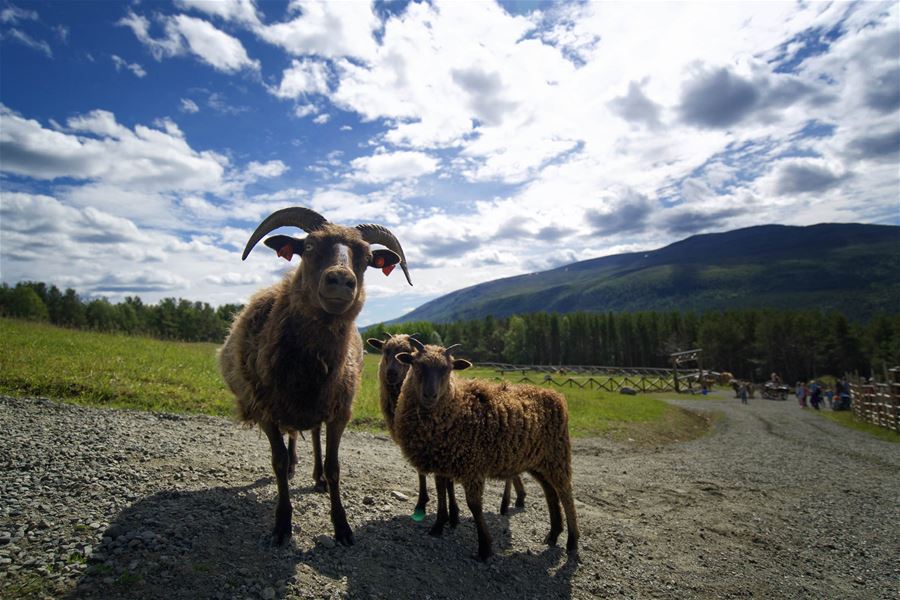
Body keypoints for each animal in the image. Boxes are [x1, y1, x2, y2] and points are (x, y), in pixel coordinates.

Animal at [218, 205, 412, 544]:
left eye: (366, 259)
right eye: (307, 247)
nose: (341, 279)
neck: (309, 367)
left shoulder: (339, 411)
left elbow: (334, 466)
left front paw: (342, 525)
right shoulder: (266, 410)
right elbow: (278, 461)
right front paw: (282, 524)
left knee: (314, 435)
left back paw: (317, 476)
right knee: (294, 436)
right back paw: (296, 465)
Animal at [364, 336, 524, 524]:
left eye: (407, 352)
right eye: (385, 351)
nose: (391, 373)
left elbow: (448, 482)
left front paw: (452, 512)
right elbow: (425, 474)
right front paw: (424, 505)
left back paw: (506, 504)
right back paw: (518, 497)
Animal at [396, 344, 580, 560]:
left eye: (447, 369)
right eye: (416, 365)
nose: (430, 395)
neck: (458, 405)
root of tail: (556, 395)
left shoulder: (472, 465)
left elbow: (474, 505)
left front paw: (484, 547)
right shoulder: (441, 465)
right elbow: (441, 494)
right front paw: (438, 527)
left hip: (557, 455)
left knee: (565, 493)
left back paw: (572, 541)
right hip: (537, 461)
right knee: (550, 492)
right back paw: (553, 534)